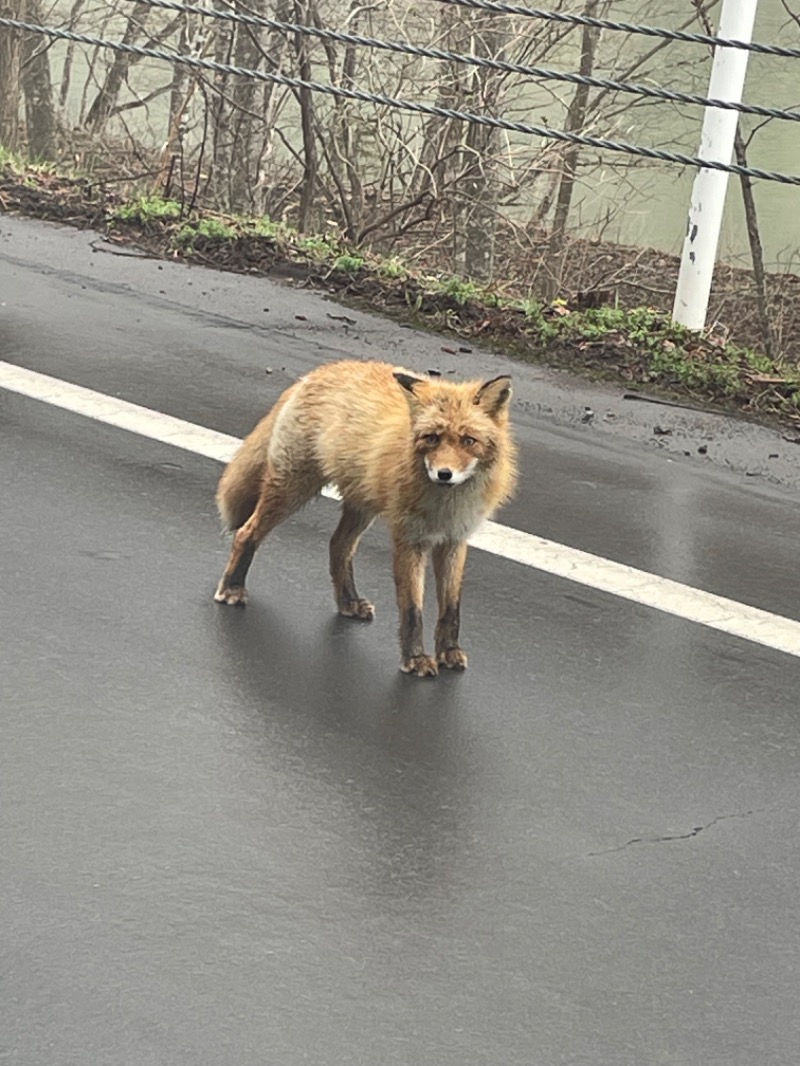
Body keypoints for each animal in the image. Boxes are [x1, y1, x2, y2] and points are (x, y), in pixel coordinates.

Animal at [214, 358, 520, 673]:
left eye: (468, 440)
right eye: (432, 438)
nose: (444, 474)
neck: (446, 504)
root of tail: (315, 373)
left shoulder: (454, 541)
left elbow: (451, 608)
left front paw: (448, 651)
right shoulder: (408, 539)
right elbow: (412, 609)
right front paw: (415, 659)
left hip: (361, 508)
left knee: (338, 546)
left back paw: (349, 602)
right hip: (292, 490)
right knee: (247, 533)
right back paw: (233, 587)